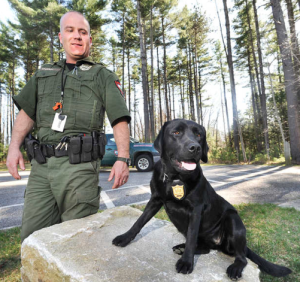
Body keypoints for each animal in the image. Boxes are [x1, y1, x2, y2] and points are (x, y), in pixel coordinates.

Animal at [112, 119, 290, 280]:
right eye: (176, 132)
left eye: (199, 135)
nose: (195, 147)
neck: (176, 178)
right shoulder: (155, 200)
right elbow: (139, 221)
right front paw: (124, 237)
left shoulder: (195, 210)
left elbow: (191, 237)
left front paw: (186, 263)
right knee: (205, 249)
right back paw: (181, 248)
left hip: (233, 220)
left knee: (241, 257)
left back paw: (234, 268)